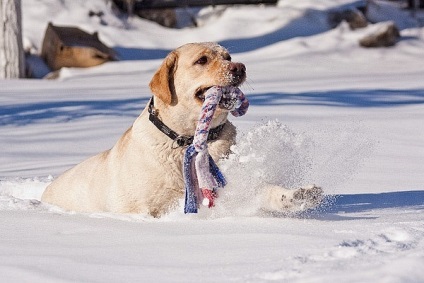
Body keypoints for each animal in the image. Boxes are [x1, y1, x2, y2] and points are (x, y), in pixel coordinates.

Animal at [42, 42, 322, 219]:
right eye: (202, 60)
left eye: (228, 58)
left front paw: (296, 196)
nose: (240, 68)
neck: (186, 140)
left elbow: (263, 190)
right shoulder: (142, 208)